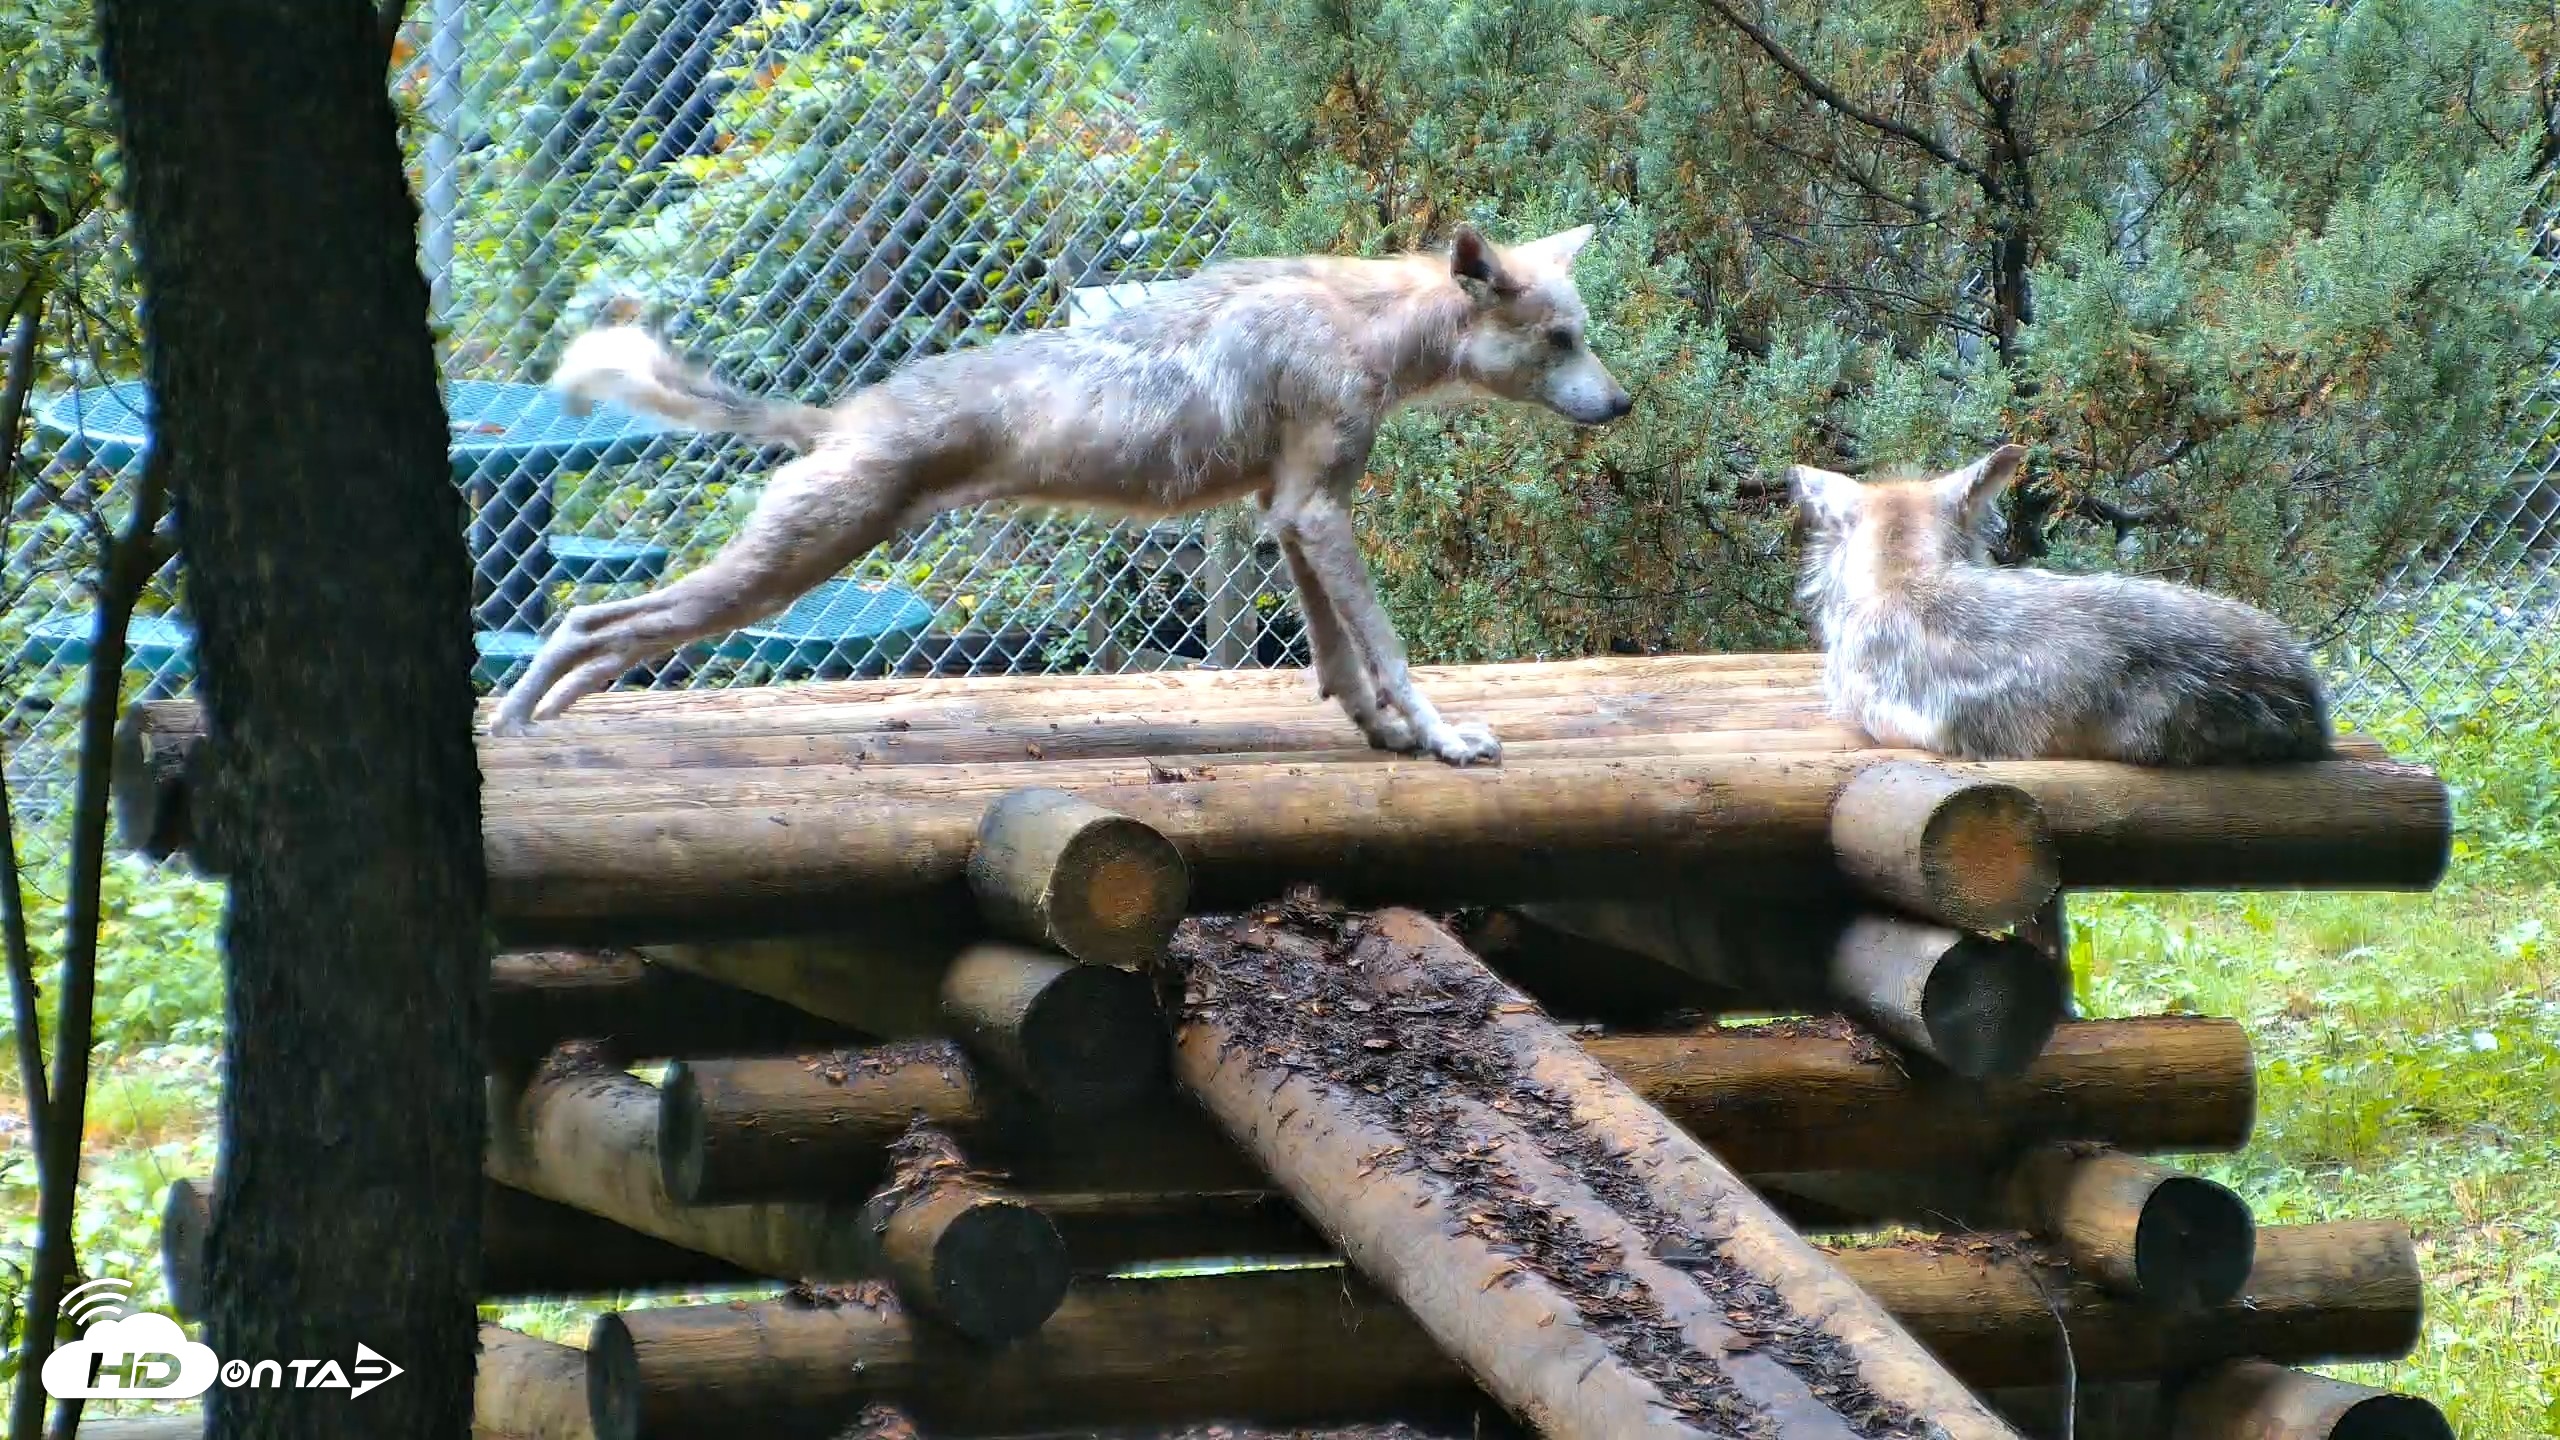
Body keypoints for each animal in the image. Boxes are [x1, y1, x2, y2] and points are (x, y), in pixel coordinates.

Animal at [487, 224, 1633, 764]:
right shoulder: (1315, 512)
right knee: (588, 620)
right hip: (779, 573)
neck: (1368, 327)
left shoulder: (1288, 514)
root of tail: (838, 417)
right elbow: (1390, 651)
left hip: (760, 584)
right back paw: (511, 730)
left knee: (611, 637)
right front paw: (1444, 741)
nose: (1623, 404)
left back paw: (542, 721)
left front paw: (1384, 735)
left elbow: (1341, 662)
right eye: (1560, 340)